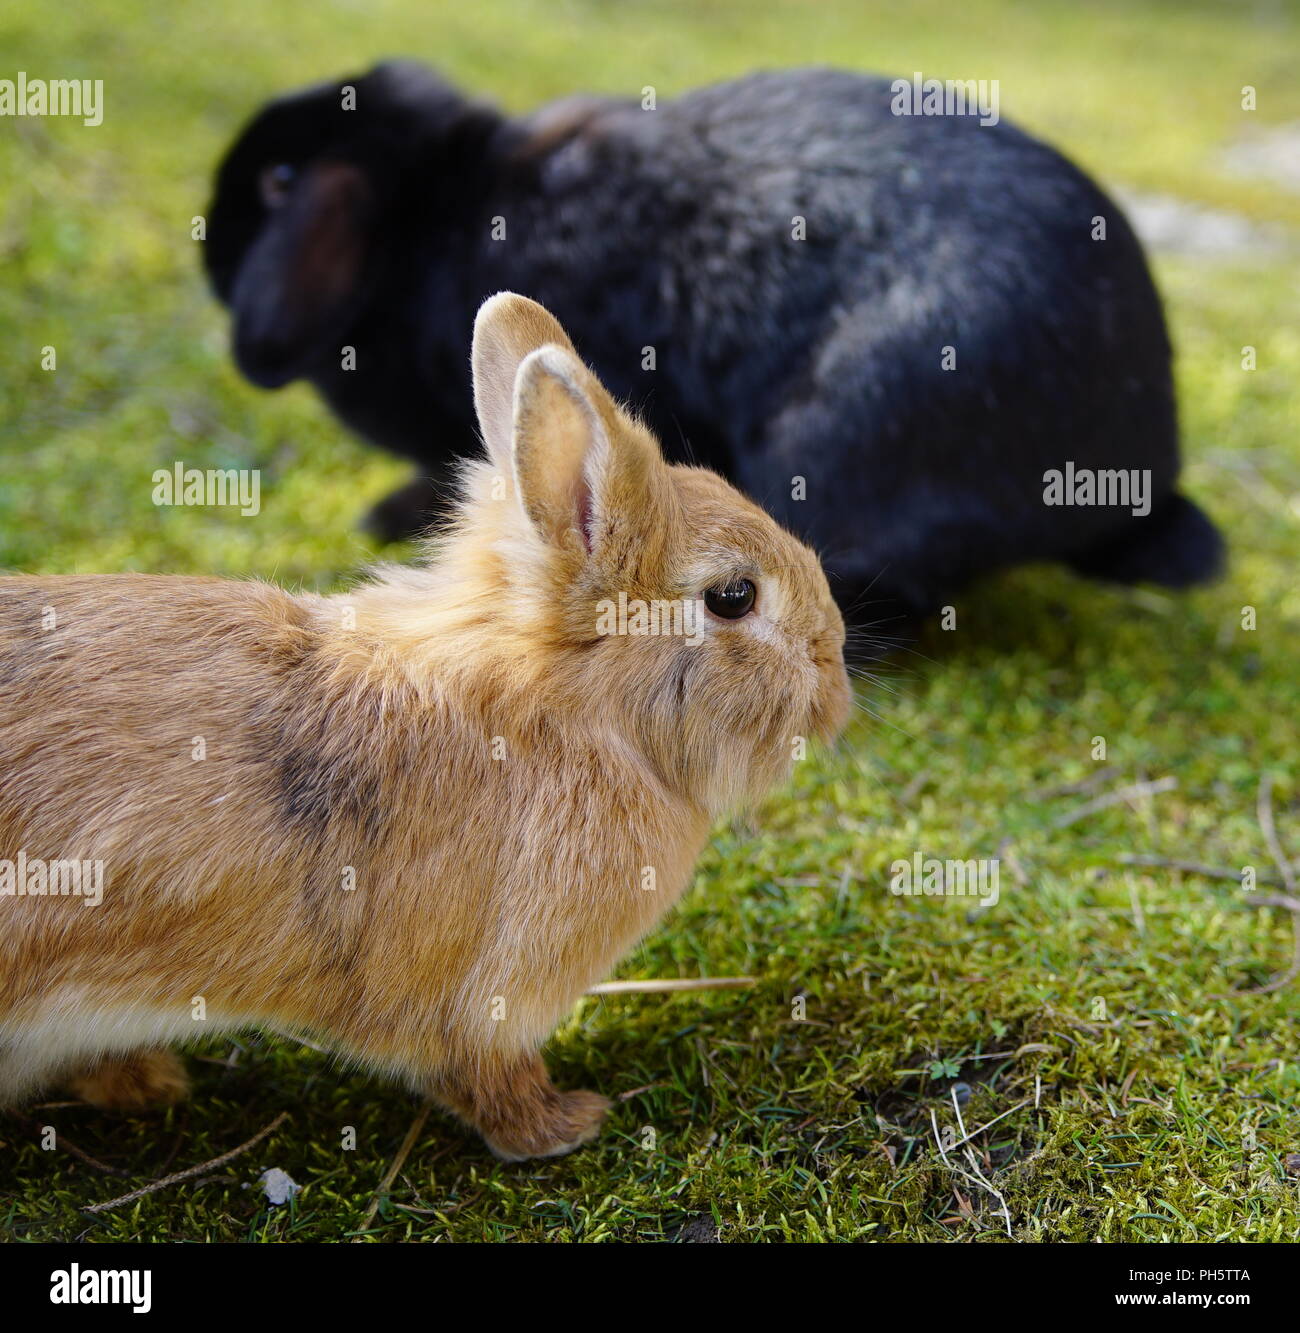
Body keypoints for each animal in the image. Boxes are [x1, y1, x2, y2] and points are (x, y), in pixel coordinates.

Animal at [0, 291, 853, 1157]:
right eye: (734, 597)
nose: (836, 681)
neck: (562, 715)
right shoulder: (480, 1001)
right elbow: (483, 1075)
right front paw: (566, 1124)